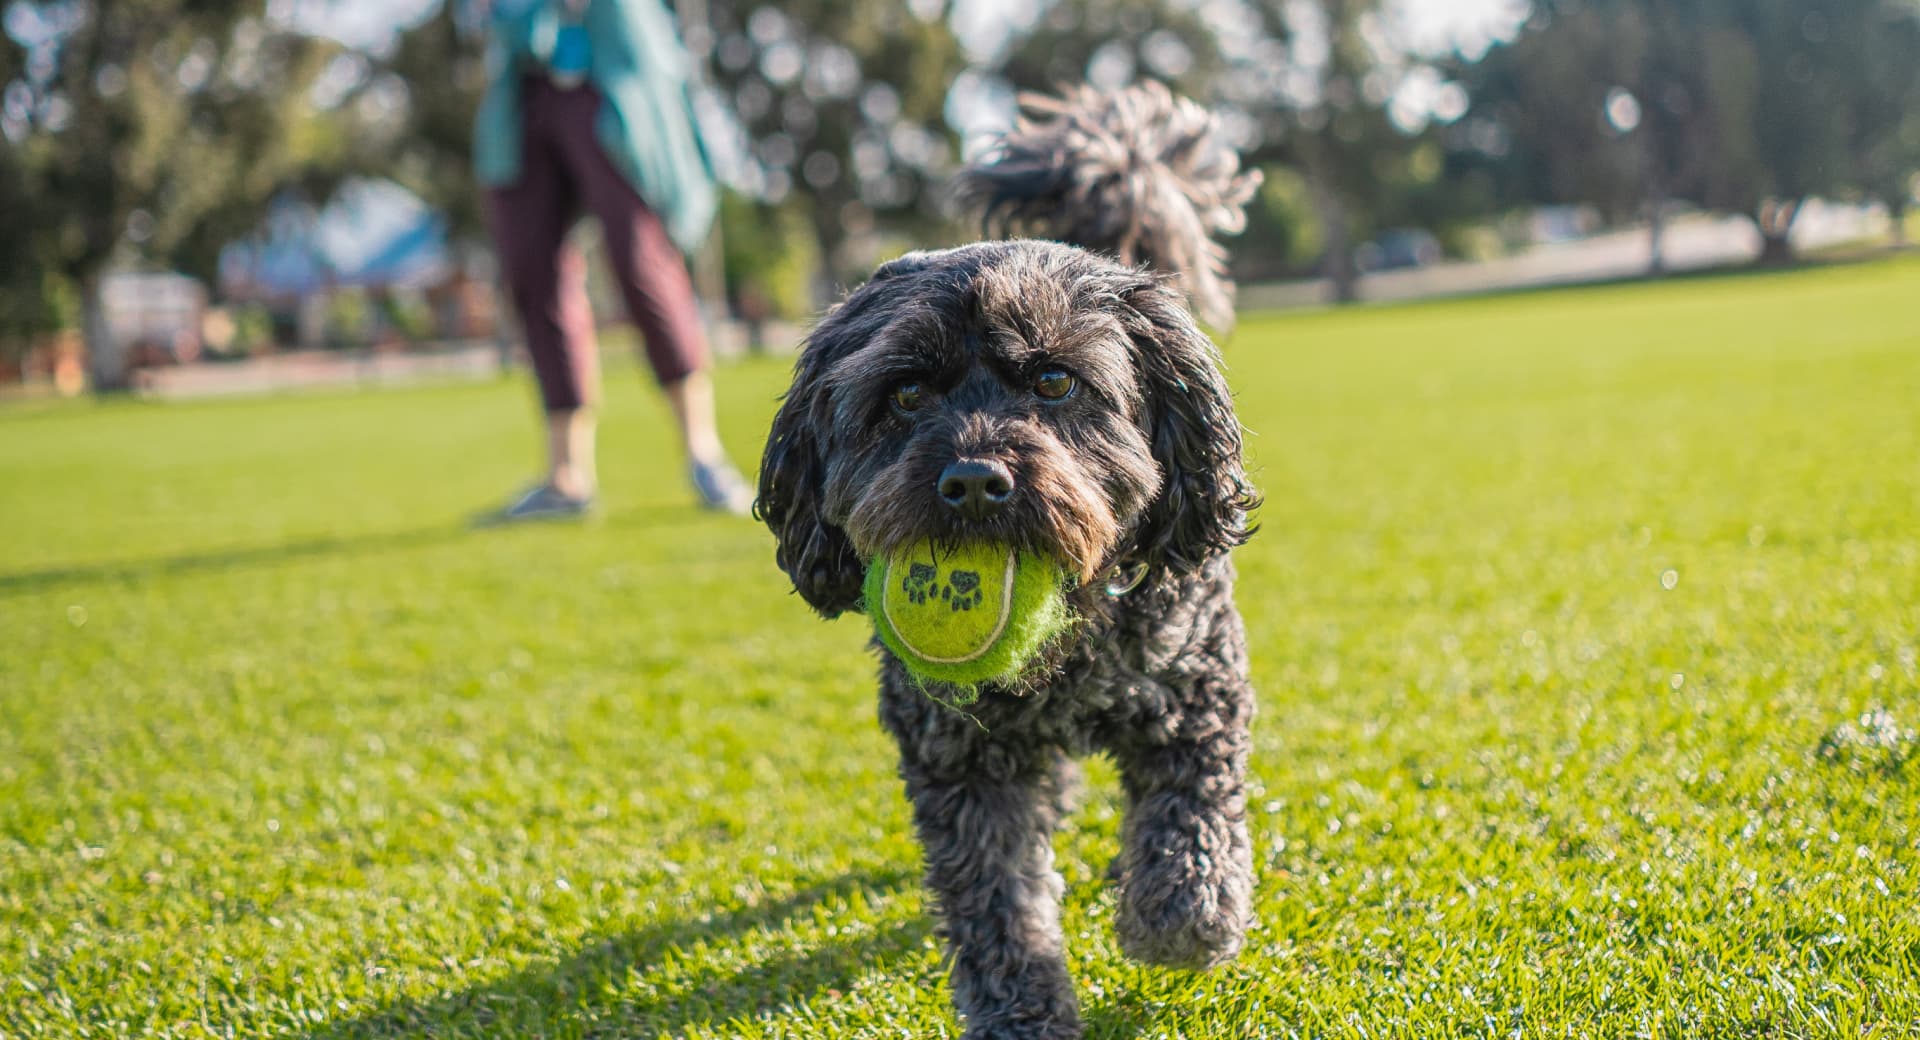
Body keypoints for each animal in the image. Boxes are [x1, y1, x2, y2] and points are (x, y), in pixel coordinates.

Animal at [756, 240, 1267, 1036]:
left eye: (1055, 381)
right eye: (906, 394)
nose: (972, 480)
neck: (1068, 642)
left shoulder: (1196, 690)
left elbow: (1191, 810)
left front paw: (1181, 917)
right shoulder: (960, 761)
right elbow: (996, 902)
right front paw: (1020, 1009)